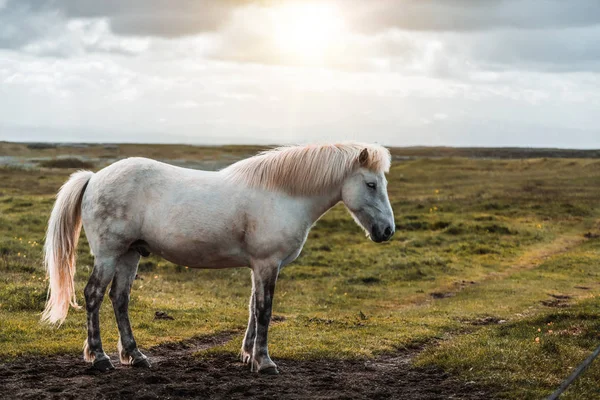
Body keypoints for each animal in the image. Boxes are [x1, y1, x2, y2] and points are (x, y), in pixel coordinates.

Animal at [43, 142, 398, 374]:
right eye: (370, 184)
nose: (387, 231)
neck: (282, 194)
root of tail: (93, 177)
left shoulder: (259, 266)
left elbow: (253, 308)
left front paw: (248, 355)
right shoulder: (267, 264)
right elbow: (265, 310)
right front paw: (265, 362)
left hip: (130, 254)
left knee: (119, 299)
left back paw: (135, 355)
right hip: (109, 254)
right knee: (93, 295)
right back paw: (99, 357)